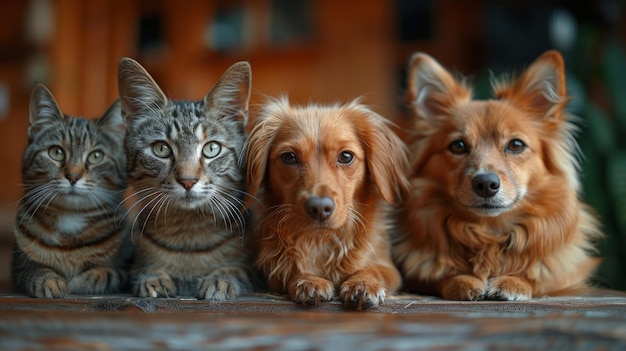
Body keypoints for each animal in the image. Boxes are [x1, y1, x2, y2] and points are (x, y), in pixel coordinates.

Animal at [12, 84, 132, 298]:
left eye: (96, 156)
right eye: (56, 152)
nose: (73, 176)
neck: (71, 217)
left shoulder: (125, 268)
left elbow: (106, 273)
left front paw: (81, 281)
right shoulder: (18, 267)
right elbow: (35, 270)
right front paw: (49, 281)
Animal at [117, 59, 254, 302]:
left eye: (212, 148)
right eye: (161, 149)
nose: (188, 181)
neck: (188, 232)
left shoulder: (250, 270)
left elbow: (234, 269)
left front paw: (220, 279)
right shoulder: (137, 262)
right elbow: (146, 269)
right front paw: (153, 278)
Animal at [244, 97, 410, 310]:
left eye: (346, 156)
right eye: (288, 157)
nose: (320, 208)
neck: (321, 240)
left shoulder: (389, 268)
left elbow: (373, 269)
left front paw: (362, 283)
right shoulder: (272, 273)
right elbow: (292, 270)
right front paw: (308, 280)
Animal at [392, 51, 604, 302]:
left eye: (516, 145)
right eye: (458, 145)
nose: (485, 183)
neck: (489, 232)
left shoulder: (565, 277)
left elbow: (540, 279)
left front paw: (514, 282)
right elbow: (438, 276)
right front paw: (461, 280)